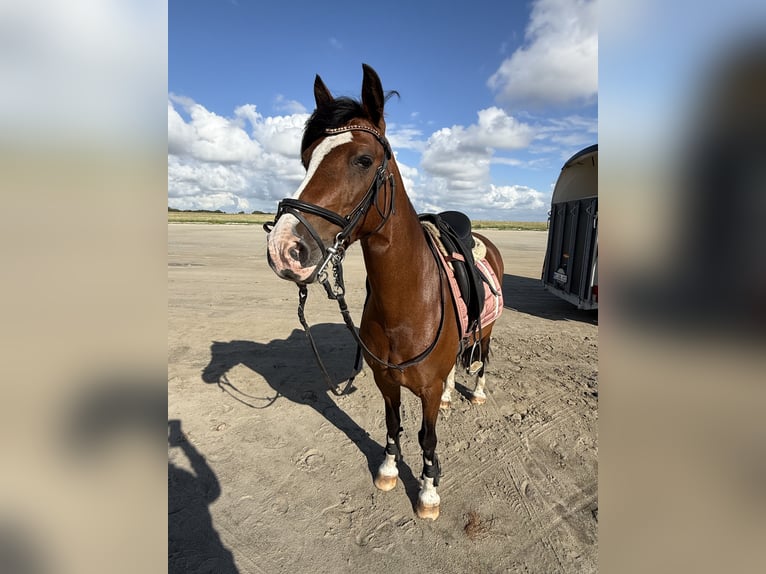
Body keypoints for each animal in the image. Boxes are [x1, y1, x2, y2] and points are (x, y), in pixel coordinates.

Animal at [265, 64, 504, 520]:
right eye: (307, 159)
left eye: (363, 160)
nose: (283, 248)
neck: (406, 307)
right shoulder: (386, 382)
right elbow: (393, 426)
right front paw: (389, 470)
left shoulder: (425, 392)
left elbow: (428, 439)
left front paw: (428, 492)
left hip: (486, 332)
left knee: (482, 359)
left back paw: (478, 393)